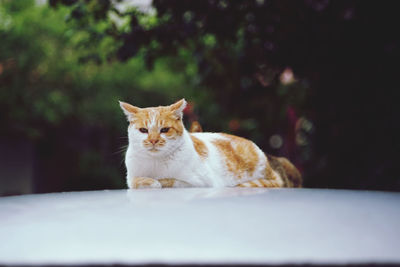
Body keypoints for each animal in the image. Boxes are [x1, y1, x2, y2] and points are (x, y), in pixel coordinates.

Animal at [120, 99, 302, 189]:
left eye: (164, 129)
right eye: (143, 130)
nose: (153, 140)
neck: (155, 162)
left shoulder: (199, 182)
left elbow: (168, 180)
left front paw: (154, 182)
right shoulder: (130, 177)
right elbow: (135, 182)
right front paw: (147, 181)